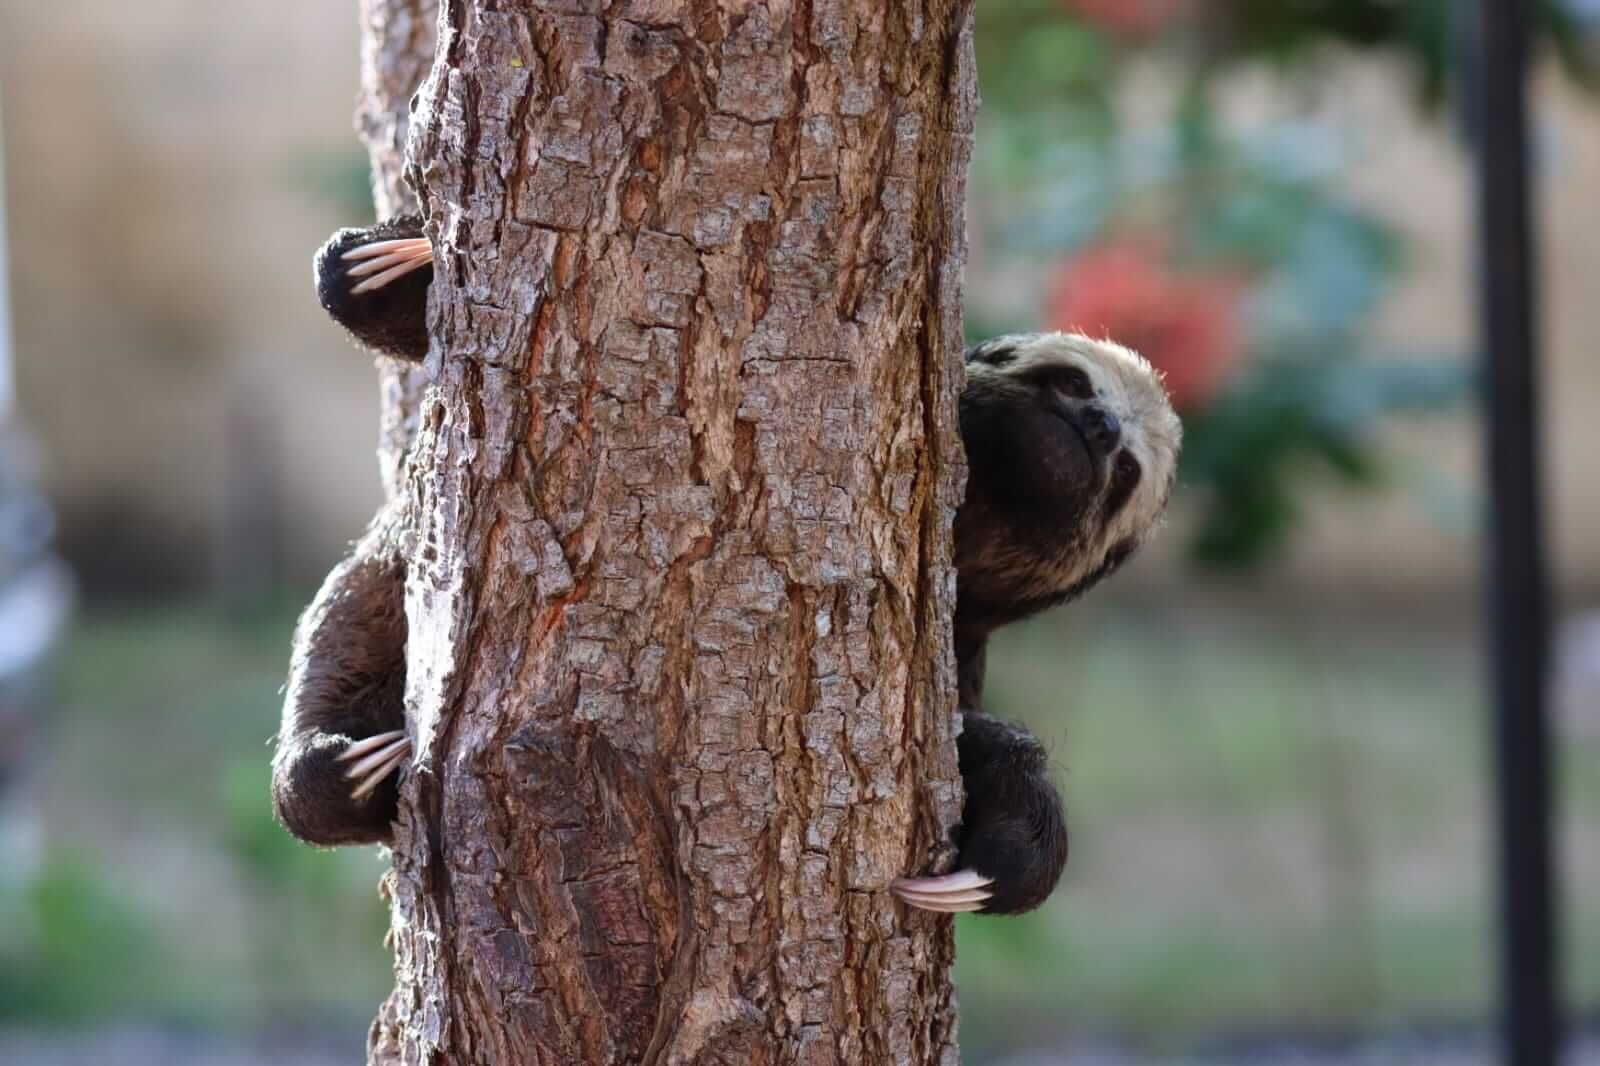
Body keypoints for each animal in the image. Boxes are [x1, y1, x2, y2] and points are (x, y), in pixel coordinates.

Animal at [272, 215, 1182, 916]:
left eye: (1124, 474)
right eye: (1068, 383)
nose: (1098, 429)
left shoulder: (957, 644)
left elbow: (979, 743)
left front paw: (1010, 841)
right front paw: (389, 262)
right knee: (341, 645)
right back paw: (329, 767)